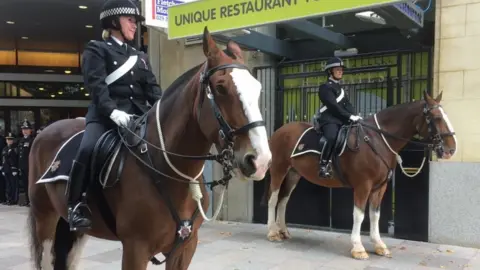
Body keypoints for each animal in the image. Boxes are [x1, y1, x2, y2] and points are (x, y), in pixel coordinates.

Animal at [26, 27, 272, 270]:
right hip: (45, 218)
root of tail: (45, 131)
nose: (260, 160)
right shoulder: (135, 248)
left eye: (258, 88)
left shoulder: (185, 246)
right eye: (220, 88)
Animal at [262, 90, 458, 260]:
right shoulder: (363, 185)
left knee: (283, 200)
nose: (451, 149)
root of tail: (279, 131)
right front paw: (358, 247)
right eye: (436, 117)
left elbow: (375, 215)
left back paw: (283, 230)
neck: (378, 140)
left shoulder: (380, 187)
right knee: (273, 199)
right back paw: (272, 232)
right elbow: (359, 214)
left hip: (293, 174)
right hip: (279, 170)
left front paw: (379, 245)